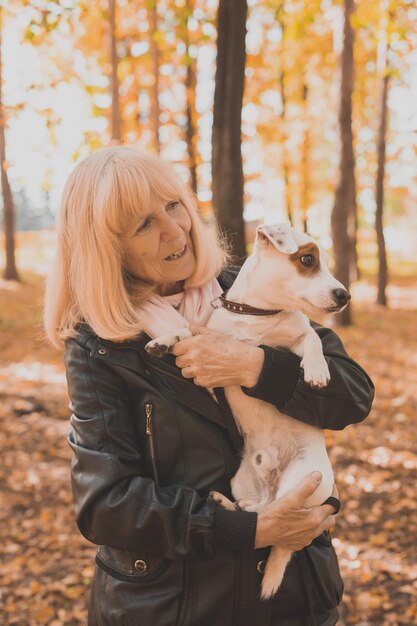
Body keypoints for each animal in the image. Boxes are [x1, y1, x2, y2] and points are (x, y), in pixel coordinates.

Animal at [145, 224, 350, 600]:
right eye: (308, 260)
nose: (345, 295)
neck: (256, 317)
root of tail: (271, 477)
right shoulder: (206, 334)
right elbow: (186, 331)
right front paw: (164, 340)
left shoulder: (298, 335)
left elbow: (312, 339)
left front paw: (316, 369)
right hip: (241, 480)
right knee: (258, 514)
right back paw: (228, 506)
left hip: (301, 478)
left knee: (275, 513)